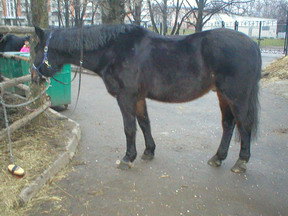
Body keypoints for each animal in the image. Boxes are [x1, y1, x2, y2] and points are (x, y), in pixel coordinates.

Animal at [32, 24, 260, 173]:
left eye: (36, 49)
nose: (34, 77)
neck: (114, 51)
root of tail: (252, 44)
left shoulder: (125, 97)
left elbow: (129, 128)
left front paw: (127, 158)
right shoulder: (138, 98)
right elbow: (144, 123)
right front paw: (149, 152)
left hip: (237, 96)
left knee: (244, 125)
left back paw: (241, 162)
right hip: (222, 95)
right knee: (228, 124)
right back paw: (218, 158)